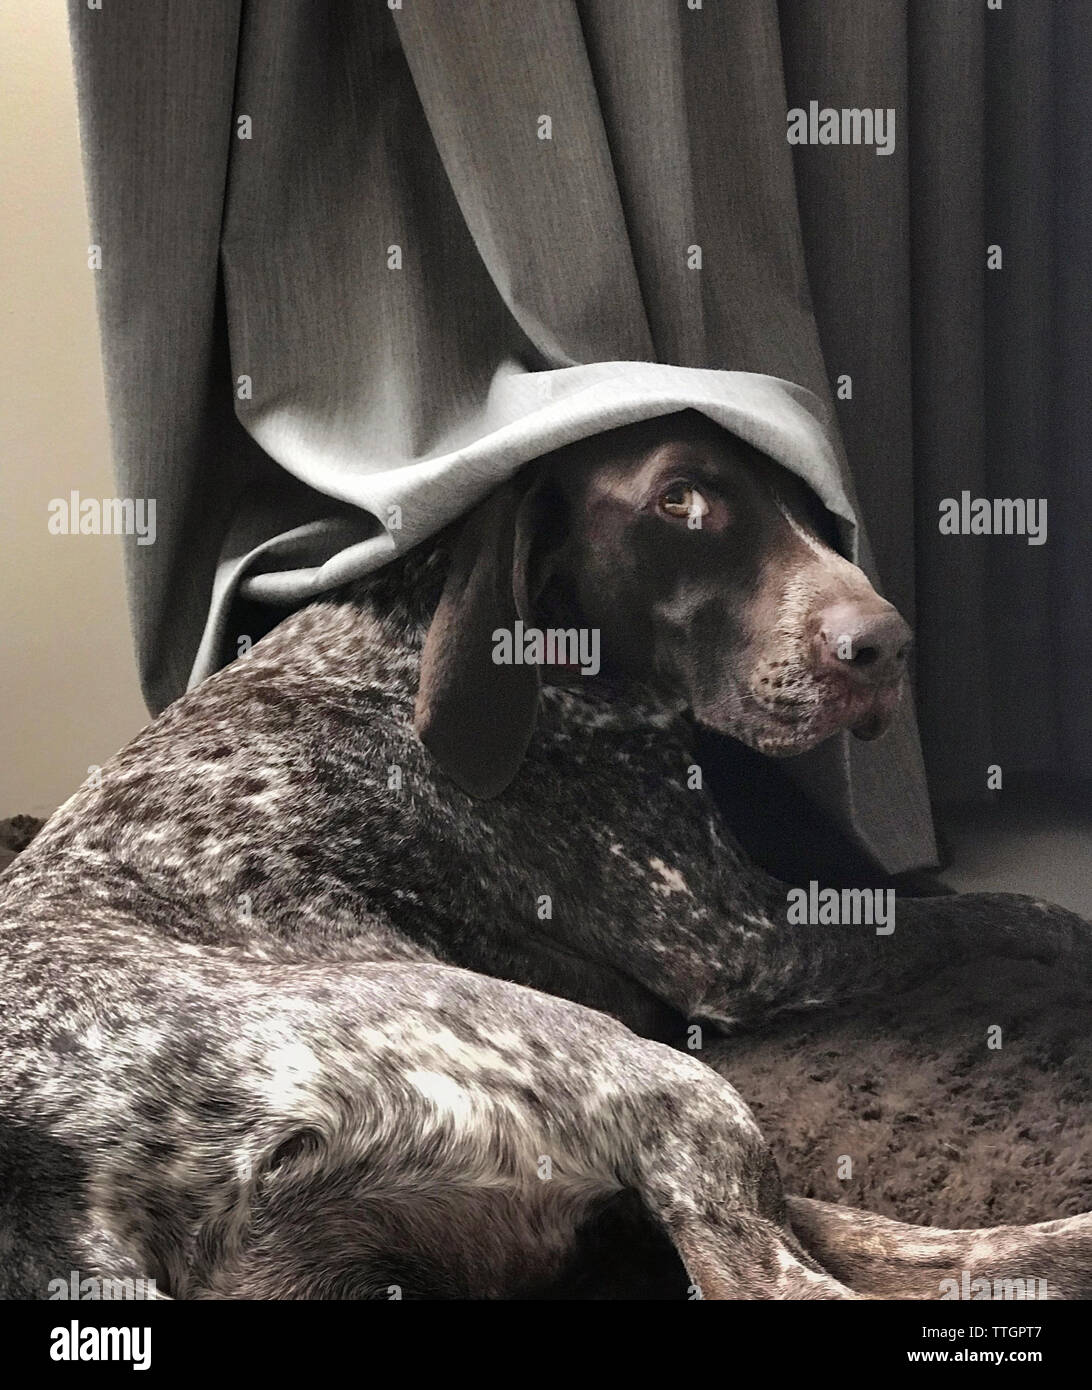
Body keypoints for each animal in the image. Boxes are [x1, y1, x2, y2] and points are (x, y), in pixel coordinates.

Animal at [2, 405, 1089, 1295]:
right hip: (632, 1070)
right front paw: (1059, 929)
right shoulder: (744, 945)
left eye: (813, 511)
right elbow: (965, 910)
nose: (887, 647)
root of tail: (69, 1192)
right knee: (780, 1272)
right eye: (681, 500)